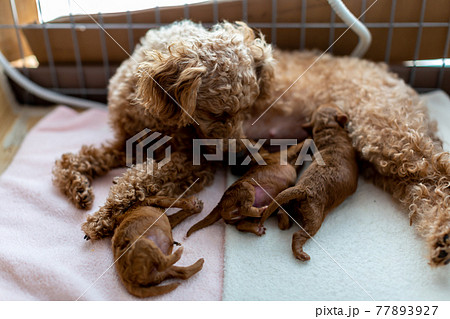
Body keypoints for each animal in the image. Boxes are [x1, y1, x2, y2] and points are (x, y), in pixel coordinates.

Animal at [260, 104, 358, 262]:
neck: (328, 130)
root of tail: (302, 189)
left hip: (290, 201)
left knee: (282, 212)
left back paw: (283, 222)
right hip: (314, 217)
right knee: (299, 234)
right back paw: (301, 254)